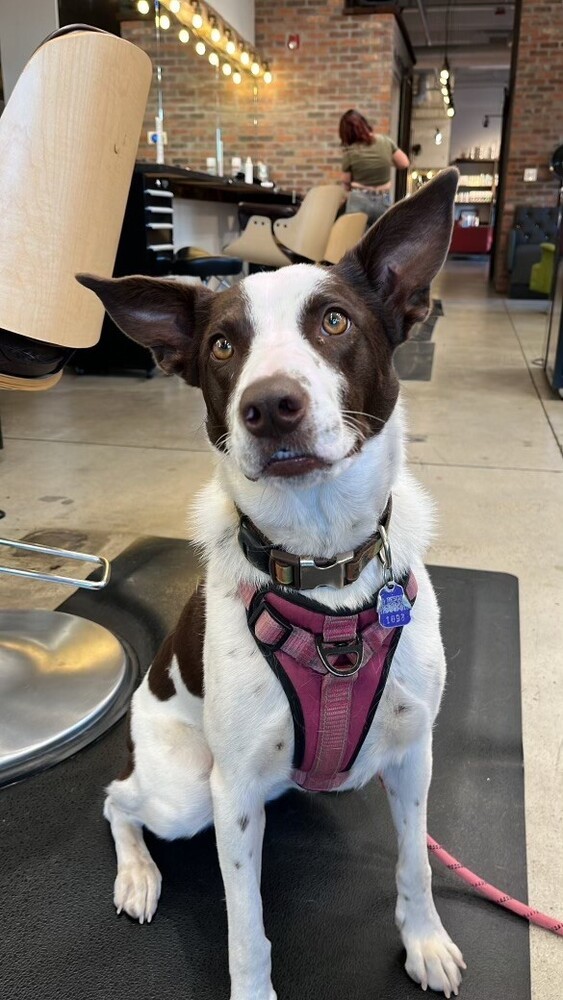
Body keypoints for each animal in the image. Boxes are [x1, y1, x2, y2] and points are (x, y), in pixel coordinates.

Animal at [79, 168, 468, 1000]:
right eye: (223, 345)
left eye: (334, 321)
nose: (269, 407)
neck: (323, 568)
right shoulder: (231, 798)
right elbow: (245, 925)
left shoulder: (411, 752)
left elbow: (415, 862)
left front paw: (423, 940)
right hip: (186, 792)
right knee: (117, 801)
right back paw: (137, 874)